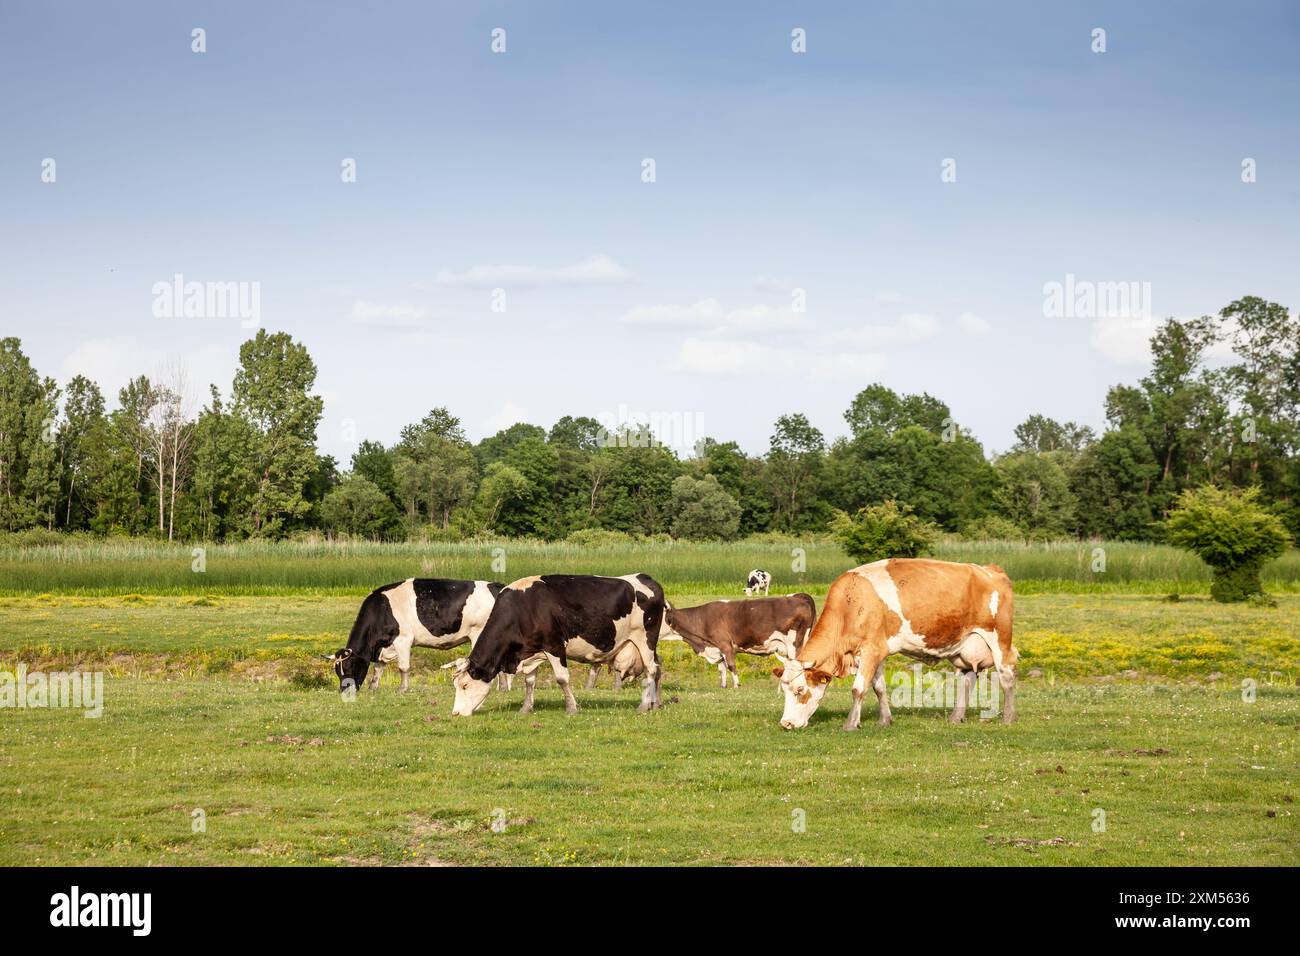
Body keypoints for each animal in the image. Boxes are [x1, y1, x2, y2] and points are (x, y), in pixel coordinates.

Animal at [325, 579, 503, 693]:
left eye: (350, 666)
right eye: (337, 671)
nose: (345, 691)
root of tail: (497, 586)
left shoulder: (403, 639)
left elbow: (403, 667)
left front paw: (402, 689)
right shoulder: (384, 646)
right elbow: (378, 667)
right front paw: (373, 688)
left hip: (480, 633)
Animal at [450, 573, 665, 717]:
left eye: (465, 685)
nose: (456, 713)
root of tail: (645, 578)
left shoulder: (554, 646)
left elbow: (562, 679)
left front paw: (571, 708)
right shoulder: (531, 651)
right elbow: (530, 681)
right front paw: (526, 708)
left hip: (645, 639)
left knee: (651, 670)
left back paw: (644, 706)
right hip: (650, 645)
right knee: (658, 668)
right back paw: (656, 703)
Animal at [660, 594, 815, 688]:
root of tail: (798, 597)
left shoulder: (725, 645)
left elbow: (731, 666)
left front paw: (736, 685)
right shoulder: (717, 648)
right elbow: (721, 668)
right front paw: (723, 686)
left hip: (794, 644)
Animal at [774, 559, 1016, 730]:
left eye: (800, 690)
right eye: (783, 689)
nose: (786, 723)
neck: (851, 603)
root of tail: (991, 570)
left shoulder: (871, 650)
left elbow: (858, 689)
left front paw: (850, 724)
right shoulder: (875, 652)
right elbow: (879, 688)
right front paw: (884, 720)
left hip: (999, 638)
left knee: (1007, 675)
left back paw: (1008, 717)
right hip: (965, 647)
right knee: (968, 679)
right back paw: (956, 717)